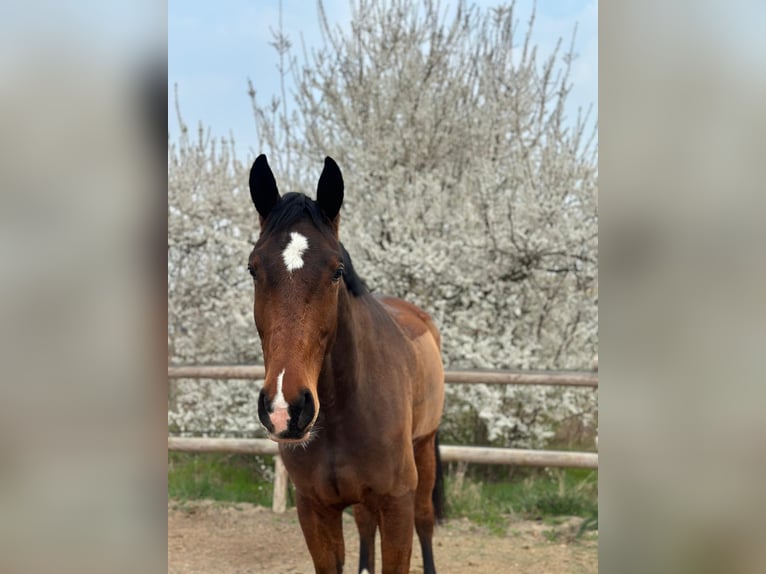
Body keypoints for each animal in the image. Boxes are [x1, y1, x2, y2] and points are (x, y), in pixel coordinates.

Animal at [246, 154, 446, 574]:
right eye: (253, 268)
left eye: (337, 270)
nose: (286, 408)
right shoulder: (315, 510)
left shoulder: (397, 506)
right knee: (366, 524)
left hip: (424, 448)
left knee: (425, 520)